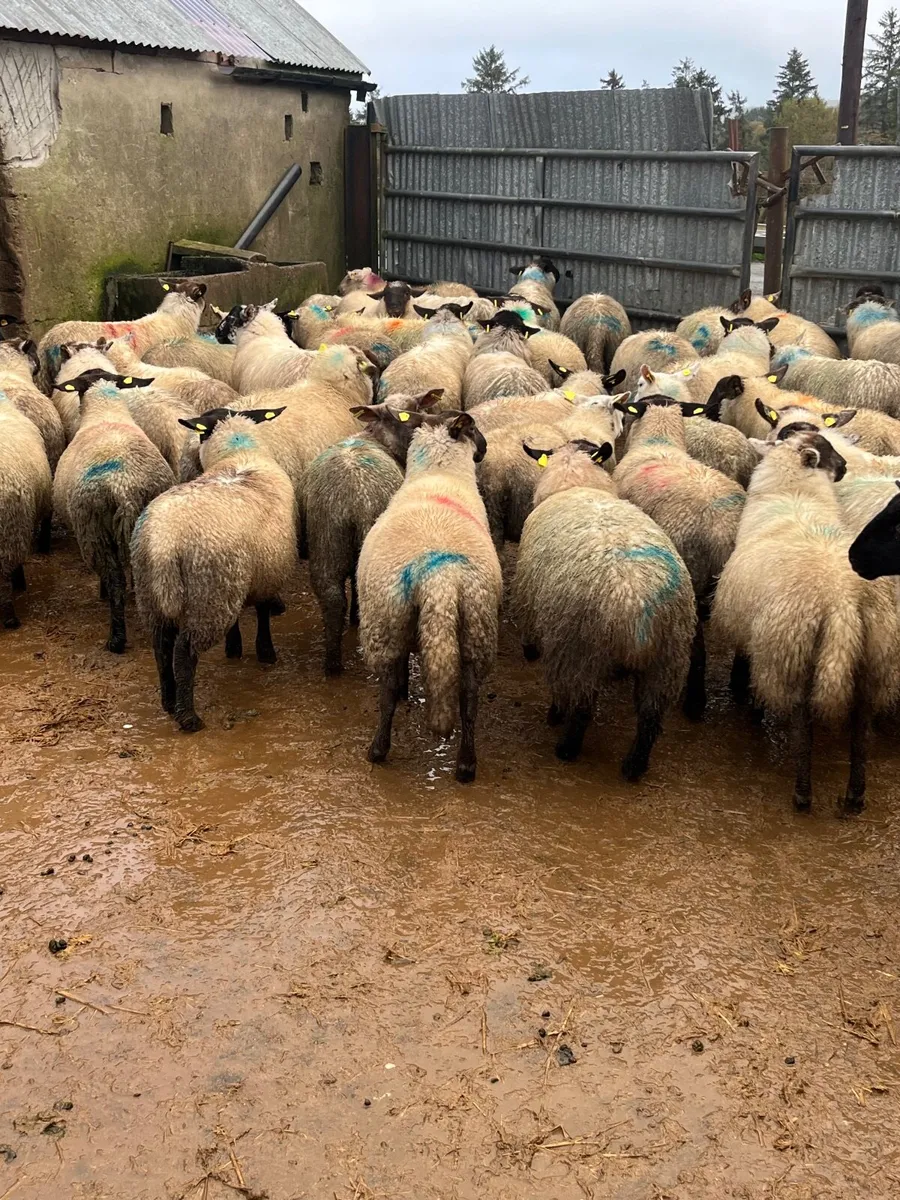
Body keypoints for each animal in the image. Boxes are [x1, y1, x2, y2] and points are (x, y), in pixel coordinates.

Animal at [132, 407, 296, 732]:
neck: (239, 453)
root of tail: (163, 544)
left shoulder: (241, 575)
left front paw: (235, 647)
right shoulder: (266, 573)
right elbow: (262, 613)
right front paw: (265, 652)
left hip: (154, 596)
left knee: (161, 647)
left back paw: (168, 701)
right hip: (209, 595)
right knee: (184, 653)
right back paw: (188, 717)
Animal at [357, 411, 501, 782]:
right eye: (475, 429)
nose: (484, 449)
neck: (439, 473)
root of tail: (440, 578)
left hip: (386, 623)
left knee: (388, 691)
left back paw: (377, 749)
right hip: (477, 627)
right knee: (469, 699)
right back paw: (466, 765)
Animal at [514, 437, 694, 773]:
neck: (576, 484)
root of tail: (635, 605)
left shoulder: (531, 600)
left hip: (578, 651)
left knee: (580, 705)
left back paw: (564, 742)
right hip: (668, 660)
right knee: (650, 719)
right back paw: (634, 766)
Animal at [613, 395, 745, 719]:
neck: (659, 441)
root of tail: (722, 529)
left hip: (691, 577)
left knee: (696, 647)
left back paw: (695, 701)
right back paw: (741, 689)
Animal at [714, 431, 900, 813]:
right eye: (830, 453)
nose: (844, 467)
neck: (794, 494)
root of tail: (842, 603)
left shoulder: (754, 634)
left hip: (792, 651)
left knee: (803, 721)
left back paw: (802, 793)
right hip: (876, 653)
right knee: (862, 726)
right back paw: (855, 796)